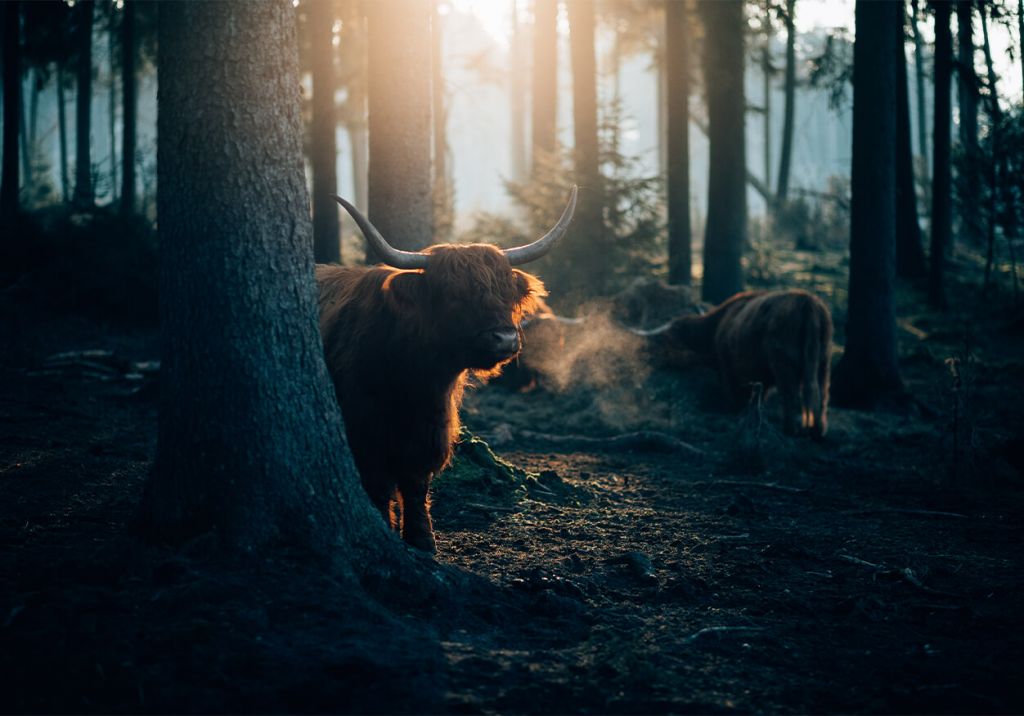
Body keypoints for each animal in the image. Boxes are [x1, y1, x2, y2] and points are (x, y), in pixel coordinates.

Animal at [317, 187, 577, 553]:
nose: (506, 338)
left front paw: (422, 541)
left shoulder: (430, 430)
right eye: (455, 295)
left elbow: (415, 484)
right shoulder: (365, 433)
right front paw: (389, 531)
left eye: (506, 292)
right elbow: (379, 486)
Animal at [643, 290, 835, 436]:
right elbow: (758, 397)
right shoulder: (759, 377)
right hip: (823, 362)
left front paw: (735, 414)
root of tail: (807, 301)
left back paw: (789, 429)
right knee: (822, 394)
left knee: (790, 394)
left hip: (783, 363)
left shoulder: (727, 368)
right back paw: (818, 431)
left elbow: (734, 393)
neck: (715, 328)